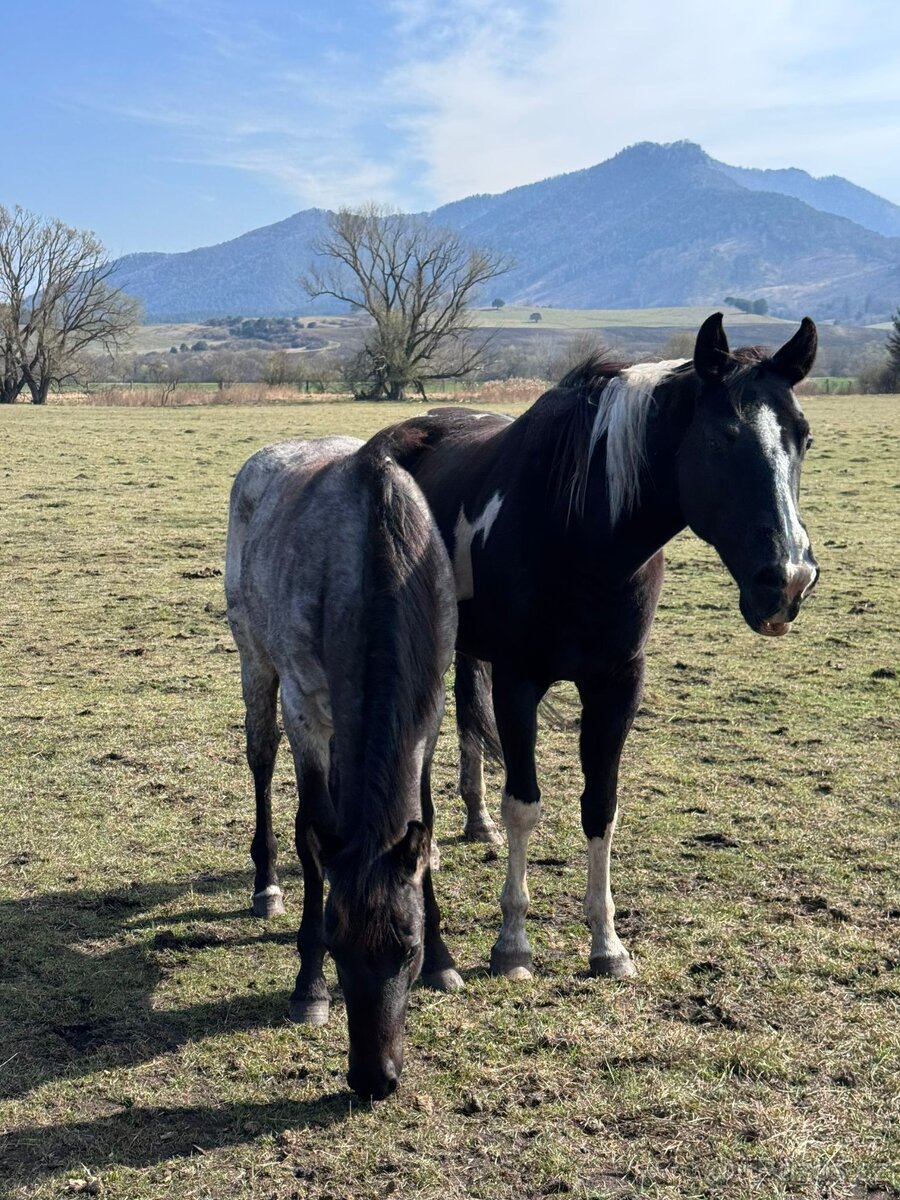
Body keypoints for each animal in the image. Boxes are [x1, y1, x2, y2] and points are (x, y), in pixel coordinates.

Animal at [225, 427, 462, 1100]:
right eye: (335, 943)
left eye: (407, 948)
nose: (374, 1079)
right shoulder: (306, 706)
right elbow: (312, 831)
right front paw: (308, 989)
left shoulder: (430, 711)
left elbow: (423, 818)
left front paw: (445, 960)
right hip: (255, 659)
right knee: (260, 756)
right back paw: (266, 883)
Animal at [382, 312, 820, 982]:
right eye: (721, 439)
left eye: (805, 438)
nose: (789, 581)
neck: (581, 530)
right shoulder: (519, 680)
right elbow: (525, 804)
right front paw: (513, 944)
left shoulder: (617, 683)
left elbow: (601, 805)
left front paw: (607, 944)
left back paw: (475, 823)